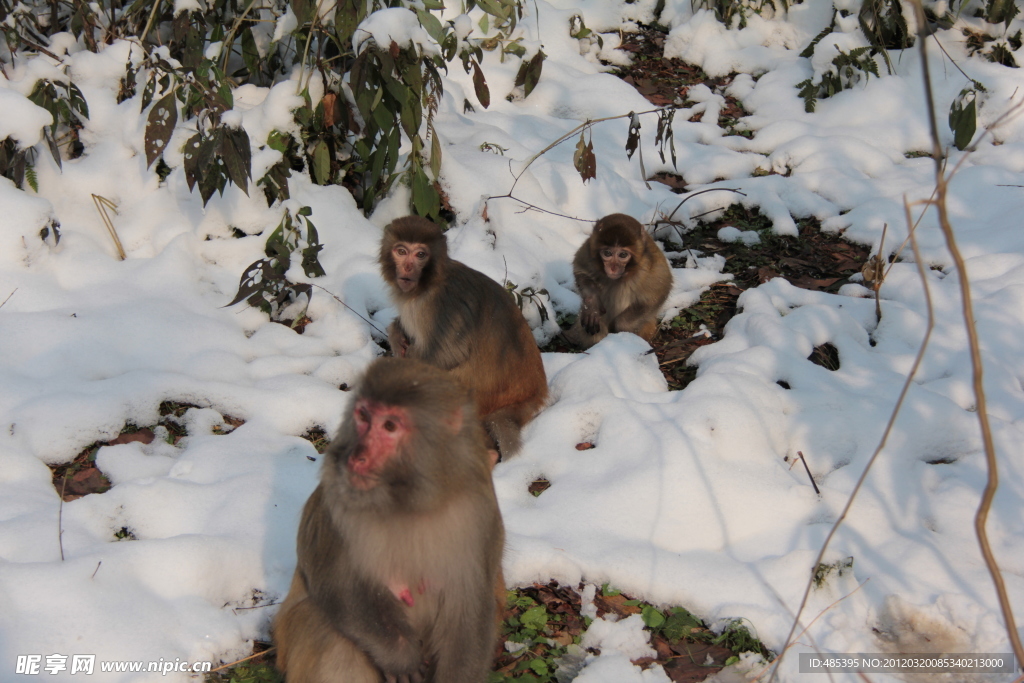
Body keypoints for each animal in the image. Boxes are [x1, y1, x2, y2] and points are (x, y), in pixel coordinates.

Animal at [274, 358, 505, 683]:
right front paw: (401, 657)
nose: (356, 457)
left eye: (390, 426)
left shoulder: (479, 511)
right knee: (330, 635)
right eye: (363, 416)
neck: (406, 501)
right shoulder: (335, 497)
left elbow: (469, 610)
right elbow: (337, 584)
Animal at [380, 215, 548, 458]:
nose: (408, 266)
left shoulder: (444, 303)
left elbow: (449, 355)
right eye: (401, 251)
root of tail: (532, 396)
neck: (429, 283)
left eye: (420, 254)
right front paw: (395, 333)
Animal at [569, 214, 671, 350]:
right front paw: (592, 304)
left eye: (623, 255)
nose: (613, 267)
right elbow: (581, 272)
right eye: (607, 253)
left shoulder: (650, 263)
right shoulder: (588, 251)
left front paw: (623, 325)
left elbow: (658, 293)